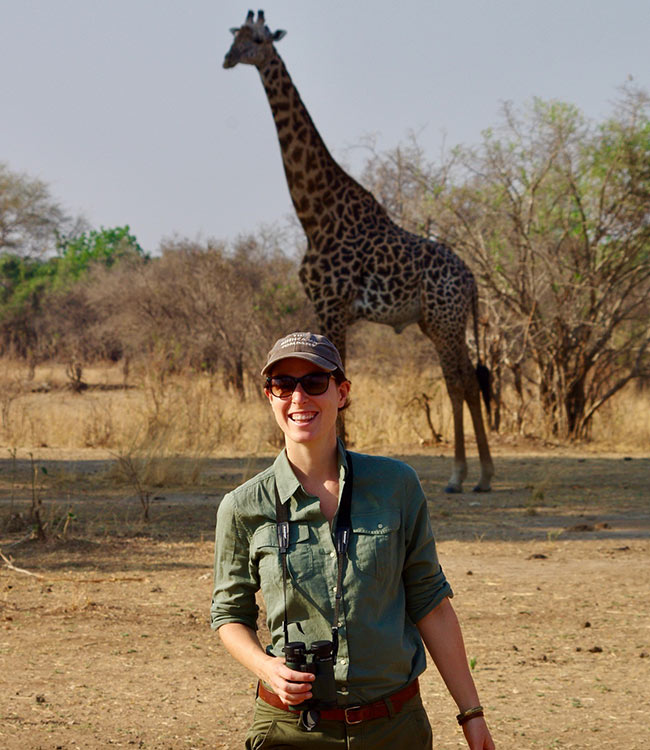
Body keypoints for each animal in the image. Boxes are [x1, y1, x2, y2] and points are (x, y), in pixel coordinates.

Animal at [223, 11, 492, 496]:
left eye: (257, 39)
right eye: (234, 36)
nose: (228, 58)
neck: (314, 214)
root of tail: (472, 279)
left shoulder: (333, 304)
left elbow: (339, 390)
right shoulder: (323, 307)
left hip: (445, 319)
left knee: (457, 381)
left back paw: (463, 475)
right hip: (437, 321)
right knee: (469, 380)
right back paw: (482, 474)